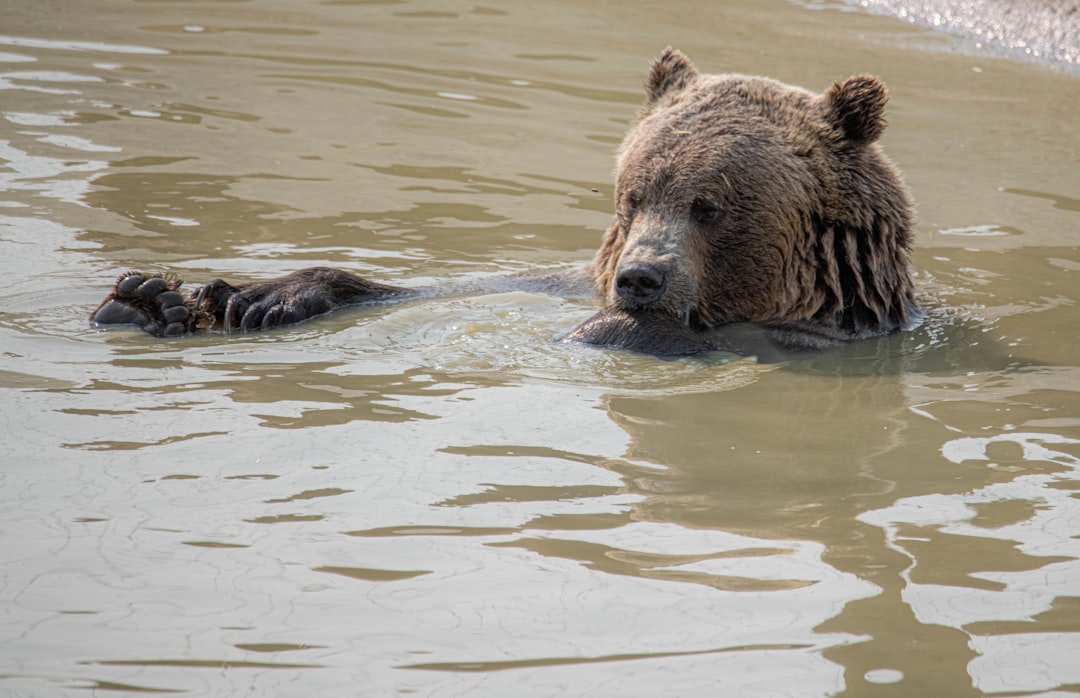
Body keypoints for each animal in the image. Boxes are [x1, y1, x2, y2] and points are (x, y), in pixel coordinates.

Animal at [90, 47, 920, 360]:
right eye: (633, 195)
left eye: (710, 206)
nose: (639, 278)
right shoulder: (566, 278)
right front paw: (194, 296)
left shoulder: (811, 338)